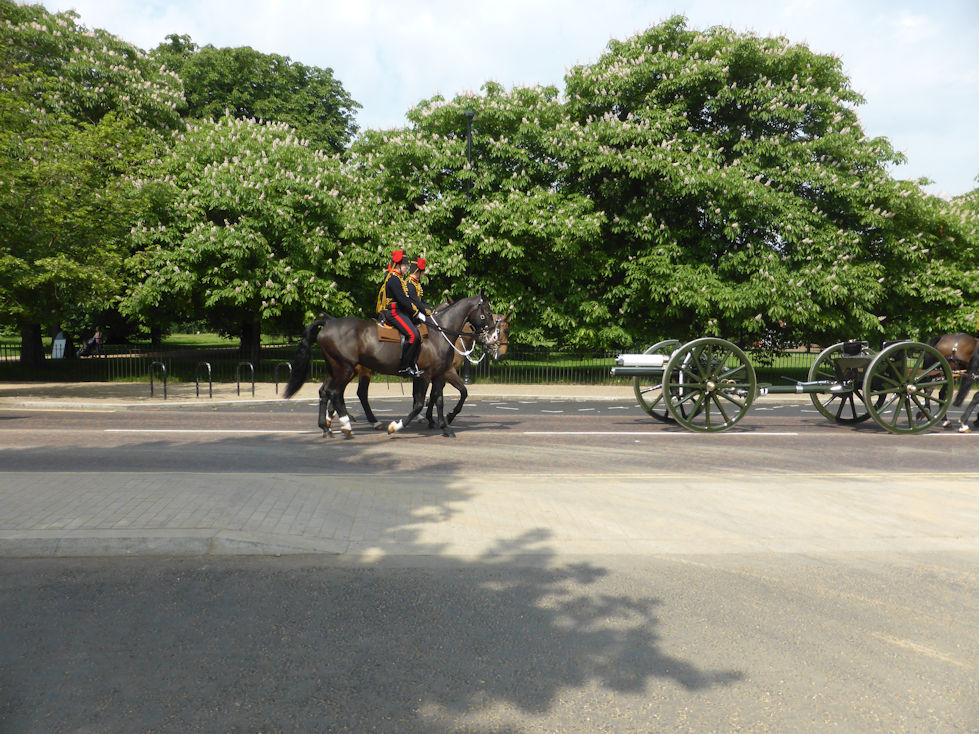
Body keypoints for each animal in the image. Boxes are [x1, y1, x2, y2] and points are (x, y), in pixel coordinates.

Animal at [284, 296, 498, 440]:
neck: (439, 334)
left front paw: (444, 426)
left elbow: (438, 400)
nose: (493, 337)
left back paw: (328, 427)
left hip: (335, 369)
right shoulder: (426, 375)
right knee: (336, 393)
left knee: (325, 392)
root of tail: (328, 323)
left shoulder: (439, 374)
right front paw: (396, 426)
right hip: (345, 369)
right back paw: (347, 424)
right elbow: (420, 402)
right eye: (487, 313)